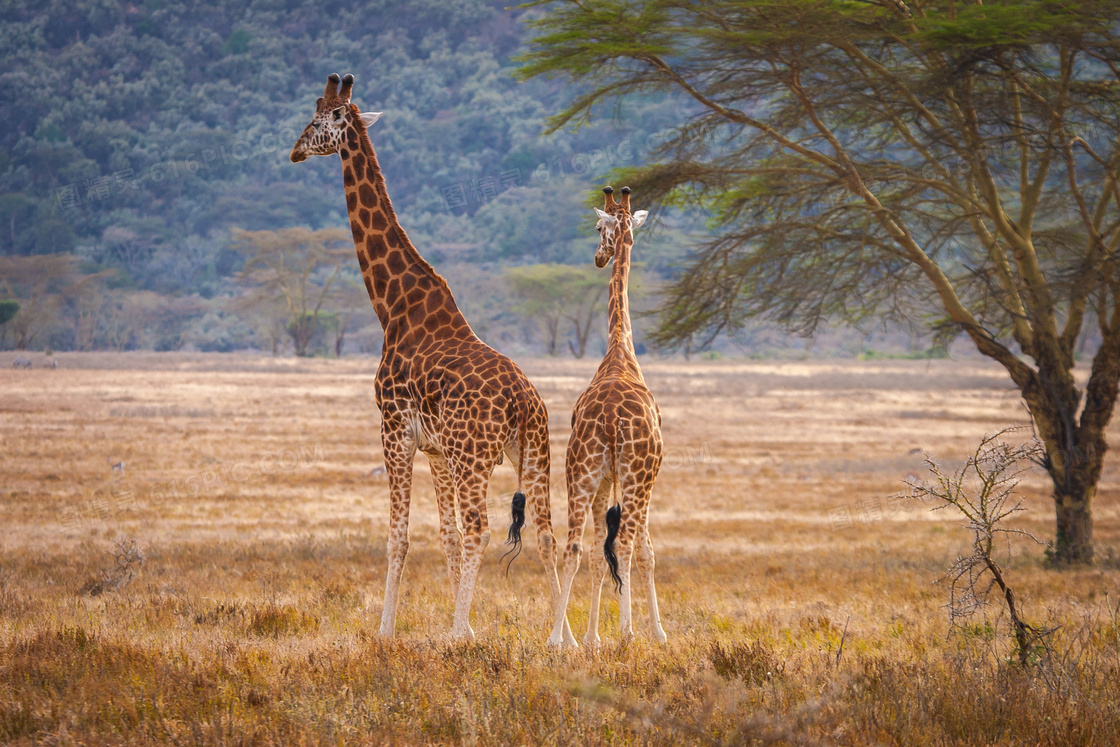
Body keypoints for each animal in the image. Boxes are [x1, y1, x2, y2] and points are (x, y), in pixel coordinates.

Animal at [291, 72, 568, 640]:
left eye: (316, 120)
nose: (293, 151)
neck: (393, 306)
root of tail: (523, 402)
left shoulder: (394, 430)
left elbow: (400, 537)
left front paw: (390, 631)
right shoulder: (436, 449)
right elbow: (443, 536)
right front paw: (455, 624)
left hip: (475, 456)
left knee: (481, 528)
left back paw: (466, 633)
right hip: (531, 451)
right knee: (547, 531)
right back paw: (562, 637)